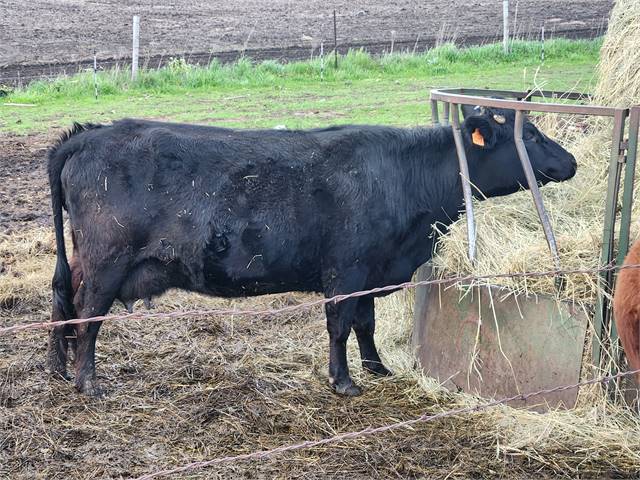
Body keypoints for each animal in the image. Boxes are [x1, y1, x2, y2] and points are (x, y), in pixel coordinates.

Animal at [45, 108, 576, 398]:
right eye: (529, 136)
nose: (570, 162)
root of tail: (89, 133)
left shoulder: (373, 272)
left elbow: (365, 323)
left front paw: (378, 368)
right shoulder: (347, 269)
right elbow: (340, 324)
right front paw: (343, 381)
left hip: (84, 261)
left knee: (61, 300)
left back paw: (58, 369)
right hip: (107, 261)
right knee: (88, 315)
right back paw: (87, 381)